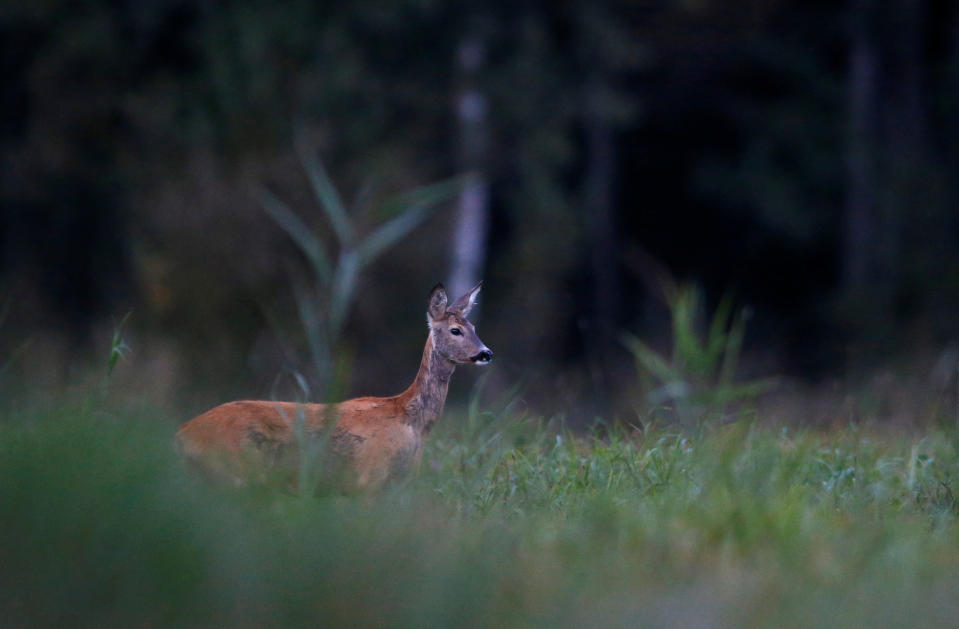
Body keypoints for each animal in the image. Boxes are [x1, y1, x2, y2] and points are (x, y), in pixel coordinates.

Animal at [176, 280, 496, 490]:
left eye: (474, 327)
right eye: (455, 330)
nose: (486, 353)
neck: (411, 420)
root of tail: (182, 435)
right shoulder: (369, 475)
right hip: (233, 468)